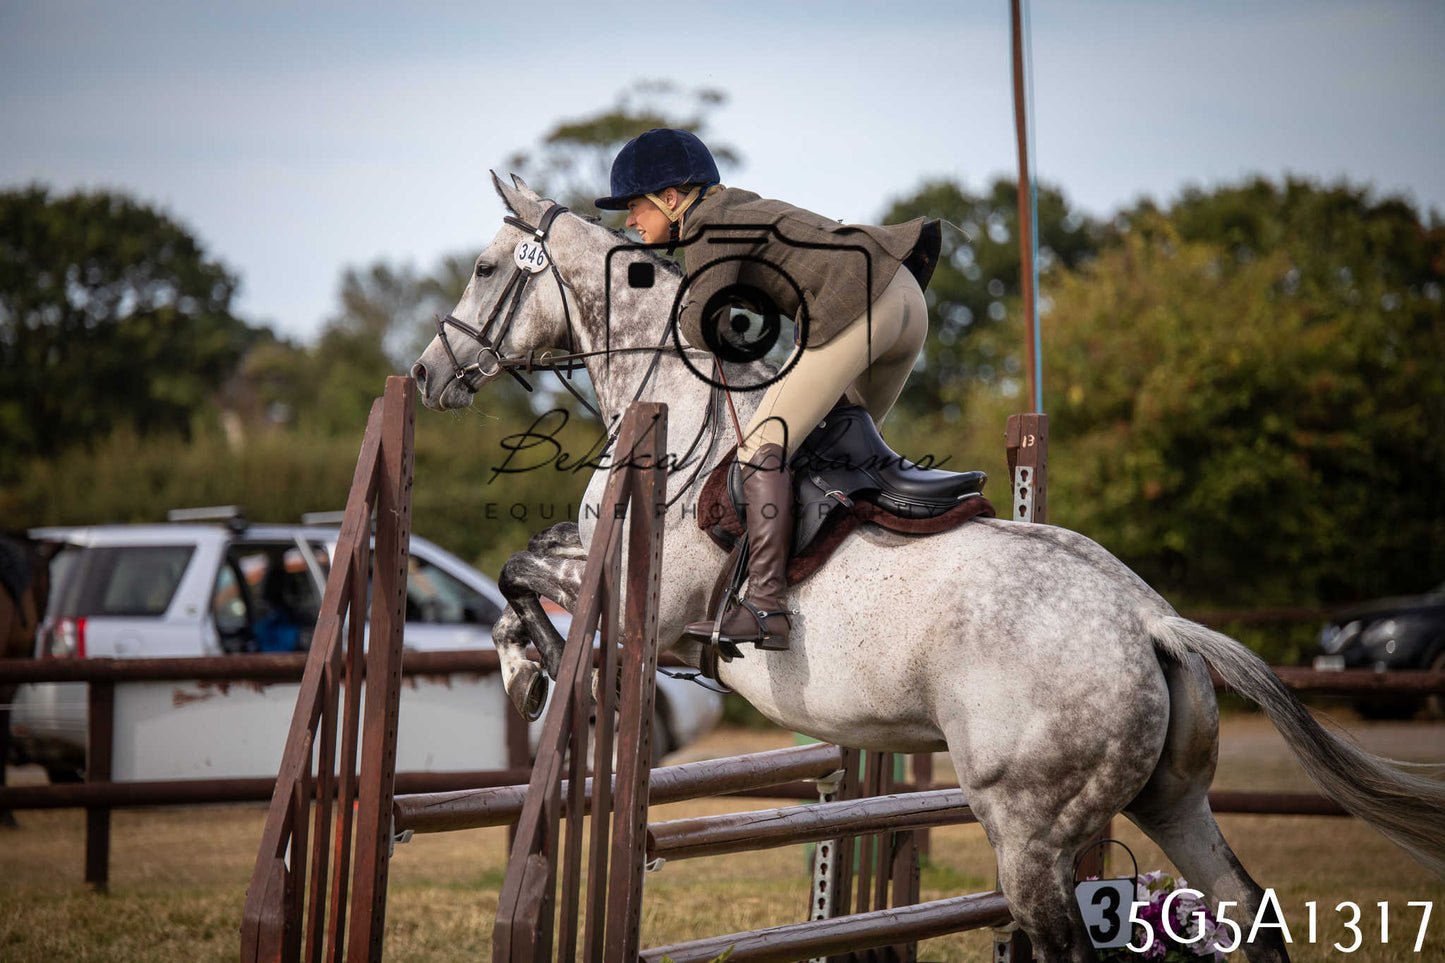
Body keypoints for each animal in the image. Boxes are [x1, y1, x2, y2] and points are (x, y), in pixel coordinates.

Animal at [409, 175, 1445, 962]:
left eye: (485, 268)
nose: (424, 375)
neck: (674, 396)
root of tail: (1151, 620)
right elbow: (520, 565)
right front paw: (527, 668)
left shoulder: (656, 608)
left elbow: (517, 571)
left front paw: (537, 666)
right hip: (1173, 798)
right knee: (1244, 911)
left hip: (1027, 827)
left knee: (1065, 939)